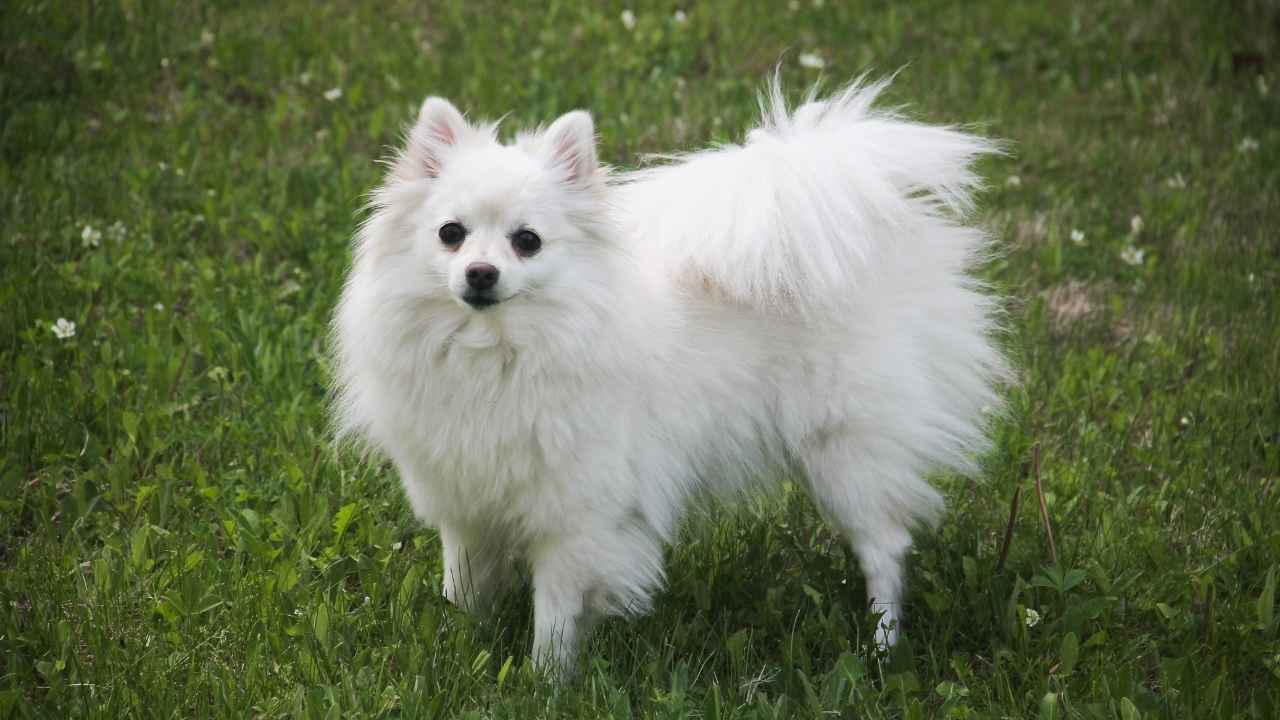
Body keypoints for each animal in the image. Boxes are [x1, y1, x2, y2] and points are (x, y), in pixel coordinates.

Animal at [335, 77, 1013, 671]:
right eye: (450, 234)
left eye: (527, 241)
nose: (480, 273)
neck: (498, 351)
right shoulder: (465, 500)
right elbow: (465, 588)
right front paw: (460, 648)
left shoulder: (575, 515)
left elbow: (555, 613)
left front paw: (545, 682)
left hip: (846, 454)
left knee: (885, 549)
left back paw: (881, 649)